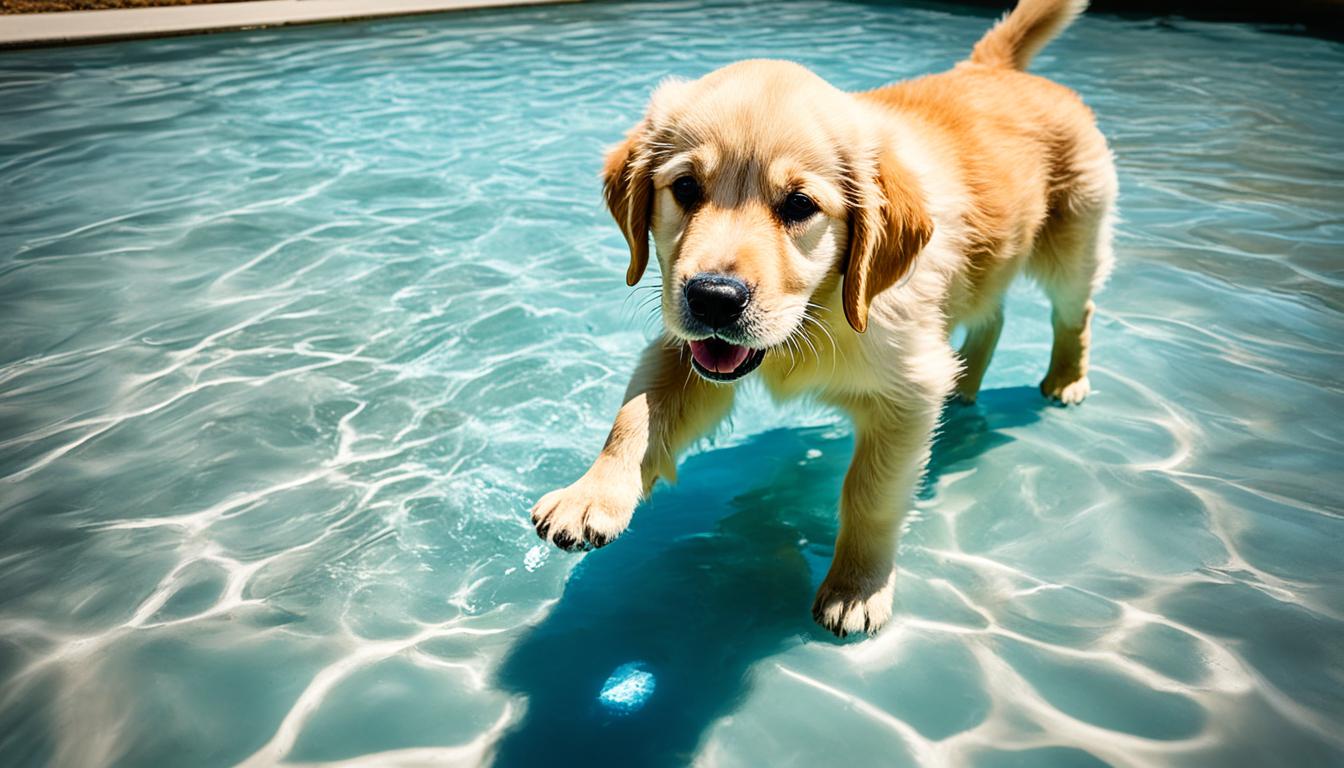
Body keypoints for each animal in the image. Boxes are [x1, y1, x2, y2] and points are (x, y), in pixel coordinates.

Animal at [529, 0, 1118, 637]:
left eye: (799, 206)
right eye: (685, 188)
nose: (714, 297)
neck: (822, 309)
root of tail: (995, 68)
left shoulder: (910, 389)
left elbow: (870, 496)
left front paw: (856, 588)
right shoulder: (687, 349)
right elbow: (636, 412)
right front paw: (592, 495)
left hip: (1071, 241)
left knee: (1074, 310)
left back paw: (1065, 378)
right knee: (993, 313)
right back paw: (969, 385)